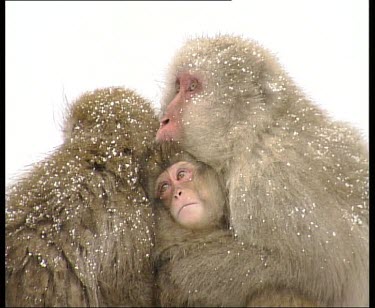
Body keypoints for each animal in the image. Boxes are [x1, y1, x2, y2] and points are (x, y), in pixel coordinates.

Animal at [156, 35, 370, 306]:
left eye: (192, 87)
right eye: (178, 86)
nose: (164, 120)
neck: (253, 133)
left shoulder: (266, 182)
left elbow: (314, 267)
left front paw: (177, 274)